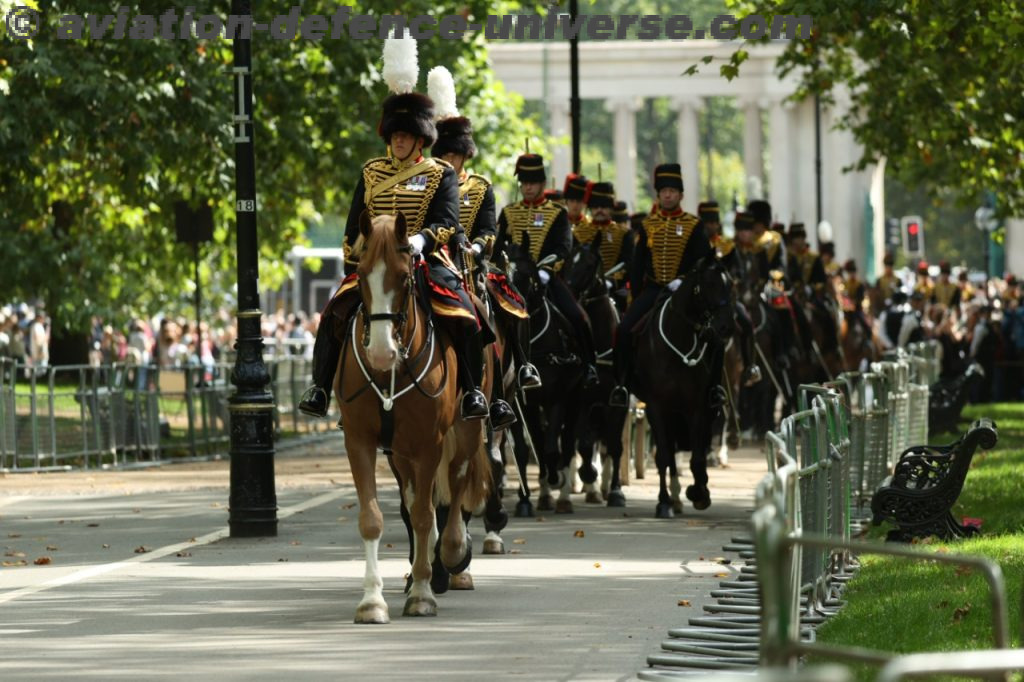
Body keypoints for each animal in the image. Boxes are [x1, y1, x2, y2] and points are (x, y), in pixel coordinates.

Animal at [333, 214, 489, 622]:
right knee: (418, 498)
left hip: (466, 431)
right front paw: (372, 601)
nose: (380, 353)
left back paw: (452, 554)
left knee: (455, 486)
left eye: (405, 276)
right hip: (400, 453)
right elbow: (374, 517)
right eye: (361, 272)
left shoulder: (429, 443)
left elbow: (424, 514)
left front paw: (421, 593)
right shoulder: (360, 441)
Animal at [630, 253, 737, 516]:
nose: (726, 327)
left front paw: (699, 493)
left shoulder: (697, 407)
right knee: (670, 449)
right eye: (709, 284)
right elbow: (664, 454)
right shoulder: (656, 406)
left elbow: (697, 456)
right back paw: (673, 498)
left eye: (731, 284)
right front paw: (663, 502)